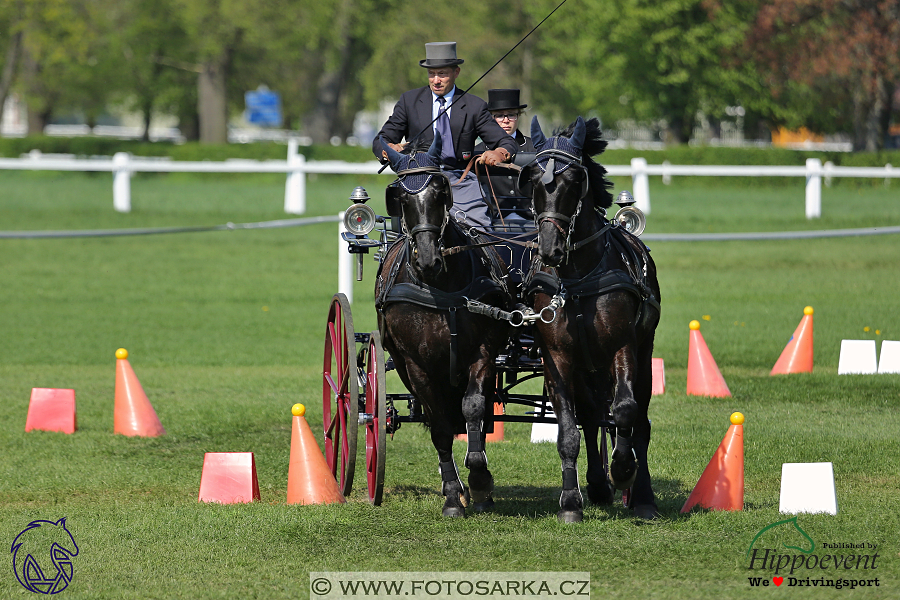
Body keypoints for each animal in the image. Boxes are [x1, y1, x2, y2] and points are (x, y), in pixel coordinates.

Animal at [374, 134, 512, 516]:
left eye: (440, 191)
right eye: (400, 198)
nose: (428, 260)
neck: (442, 288)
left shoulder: (482, 353)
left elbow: (474, 409)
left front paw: (479, 480)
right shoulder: (415, 365)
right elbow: (439, 428)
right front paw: (453, 495)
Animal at [520, 116, 660, 520]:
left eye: (572, 181)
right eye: (532, 180)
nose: (550, 248)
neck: (578, 277)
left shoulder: (622, 346)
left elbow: (625, 411)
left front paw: (624, 470)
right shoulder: (557, 358)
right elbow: (569, 429)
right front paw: (571, 501)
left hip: (643, 352)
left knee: (637, 419)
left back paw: (641, 494)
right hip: (586, 367)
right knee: (591, 415)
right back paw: (596, 484)